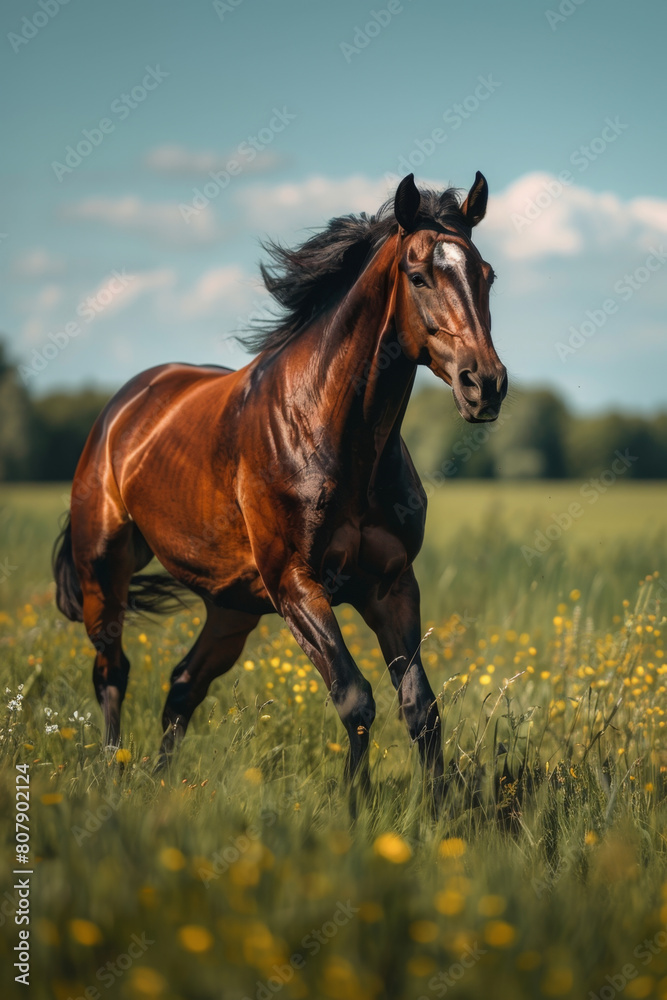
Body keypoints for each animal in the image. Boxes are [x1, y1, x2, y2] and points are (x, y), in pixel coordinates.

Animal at [53, 172, 507, 800]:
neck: (330, 432)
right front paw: (355, 806)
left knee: (182, 685)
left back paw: (161, 782)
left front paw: (439, 809)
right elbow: (355, 698)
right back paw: (113, 772)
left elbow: (421, 708)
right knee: (112, 673)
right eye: (418, 276)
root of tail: (120, 412)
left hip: (232, 606)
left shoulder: (391, 586)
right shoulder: (296, 584)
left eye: (486, 274)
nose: (484, 384)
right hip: (105, 572)